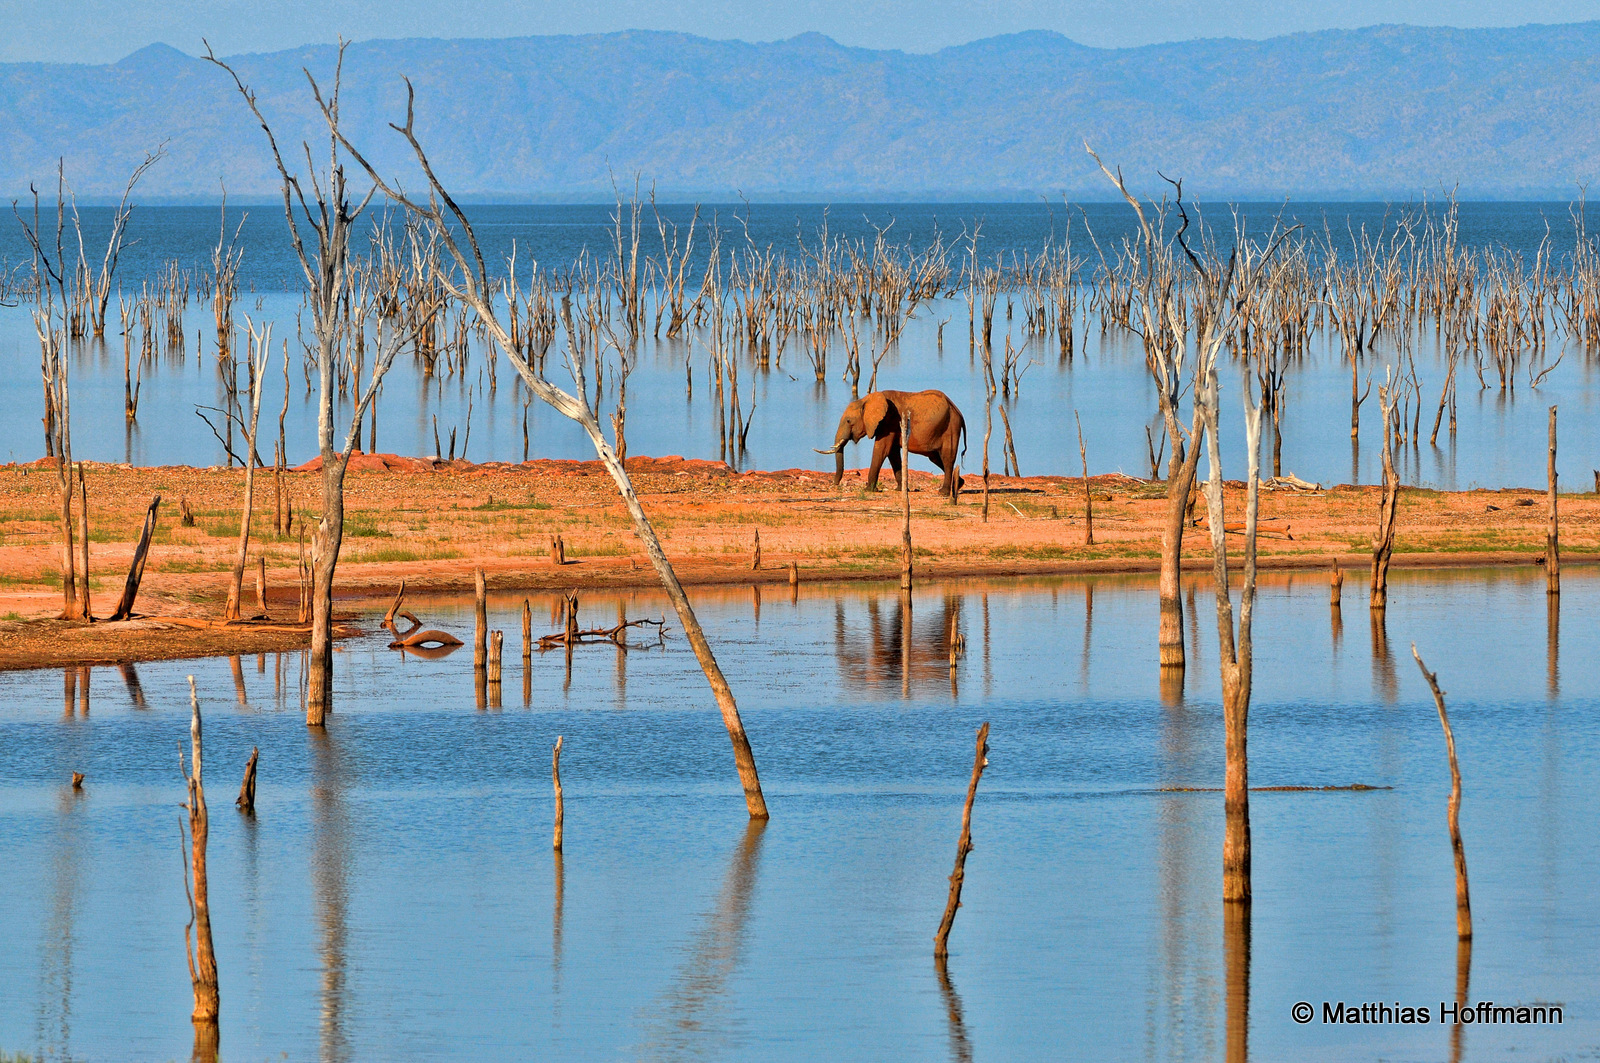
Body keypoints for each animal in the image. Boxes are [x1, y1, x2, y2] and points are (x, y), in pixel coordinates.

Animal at [812, 389, 960, 499]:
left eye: (848, 421)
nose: (835, 484)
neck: (866, 400)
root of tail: (956, 409)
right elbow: (892, 453)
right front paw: (900, 489)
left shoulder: (889, 422)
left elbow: (881, 449)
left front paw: (869, 489)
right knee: (935, 457)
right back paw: (959, 484)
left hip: (951, 428)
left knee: (947, 458)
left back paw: (943, 492)